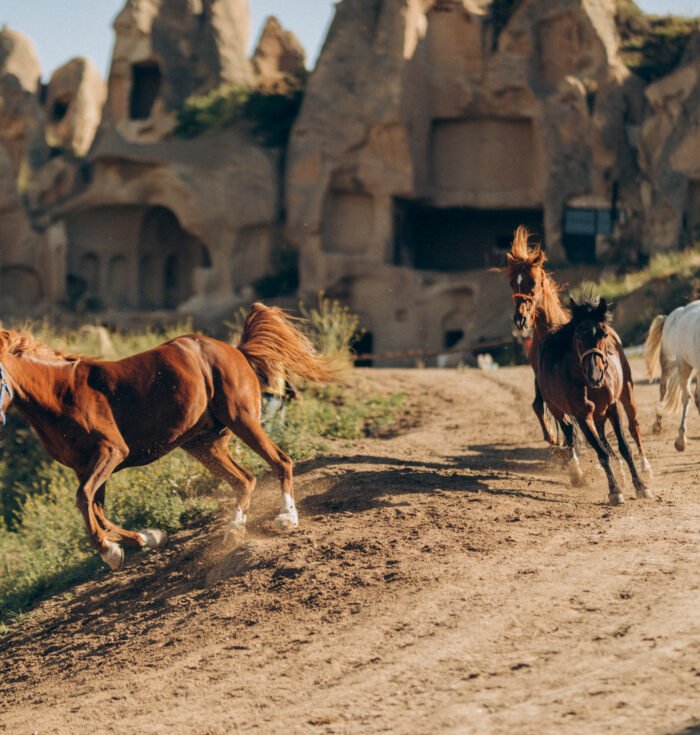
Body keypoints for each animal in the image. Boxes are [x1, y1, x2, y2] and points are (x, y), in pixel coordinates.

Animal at [0, 302, 336, 572]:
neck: (61, 395)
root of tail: (236, 350)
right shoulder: (85, 467)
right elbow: (96, 509)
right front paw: (146, 538)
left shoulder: (111, 452)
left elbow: (84, 501)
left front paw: (111, 550)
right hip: (203, 444)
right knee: (245, 480)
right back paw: (234, 530)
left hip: (242, 421)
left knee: (281, 462)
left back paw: (287, 519)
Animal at [504, 227, 652, 480]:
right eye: (513, 284)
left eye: (533, 282)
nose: (520, 318)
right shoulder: (543, 382)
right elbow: (543, 410)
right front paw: (562, 449)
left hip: (627, 389)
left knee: (634, 425)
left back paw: (644, 466)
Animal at [540, 296, 652, 504]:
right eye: (577, 336)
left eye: (603, 334)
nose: (595, 375)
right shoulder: (583, 416)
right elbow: (601, 453)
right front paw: (615, 491)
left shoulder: (613, 408)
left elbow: (625, 447)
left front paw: (641, 486)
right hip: (557, 409)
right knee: (570, 431)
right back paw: (579, 473)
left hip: (627, 392)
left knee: (633, 427)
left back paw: (645, 467)